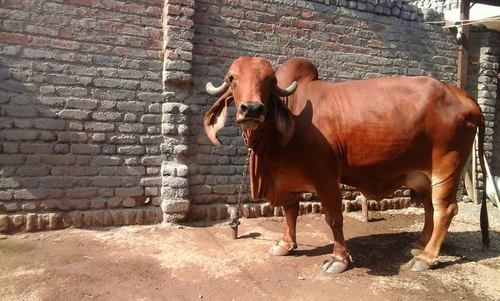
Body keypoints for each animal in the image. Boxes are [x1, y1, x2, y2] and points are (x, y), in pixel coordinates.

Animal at [203, 55, 488, 272]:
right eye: (232, 78)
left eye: (269, 81)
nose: (251, 109)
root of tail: (465, 97)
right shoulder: (288, 181)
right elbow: (290, 212)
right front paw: (285, 245)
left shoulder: (326, 176)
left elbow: (334, 218)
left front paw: (339, 259)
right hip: (426, 174)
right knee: (429, 209)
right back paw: (419, 245)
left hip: (447, 166)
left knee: (445, 210)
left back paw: (426, 259)